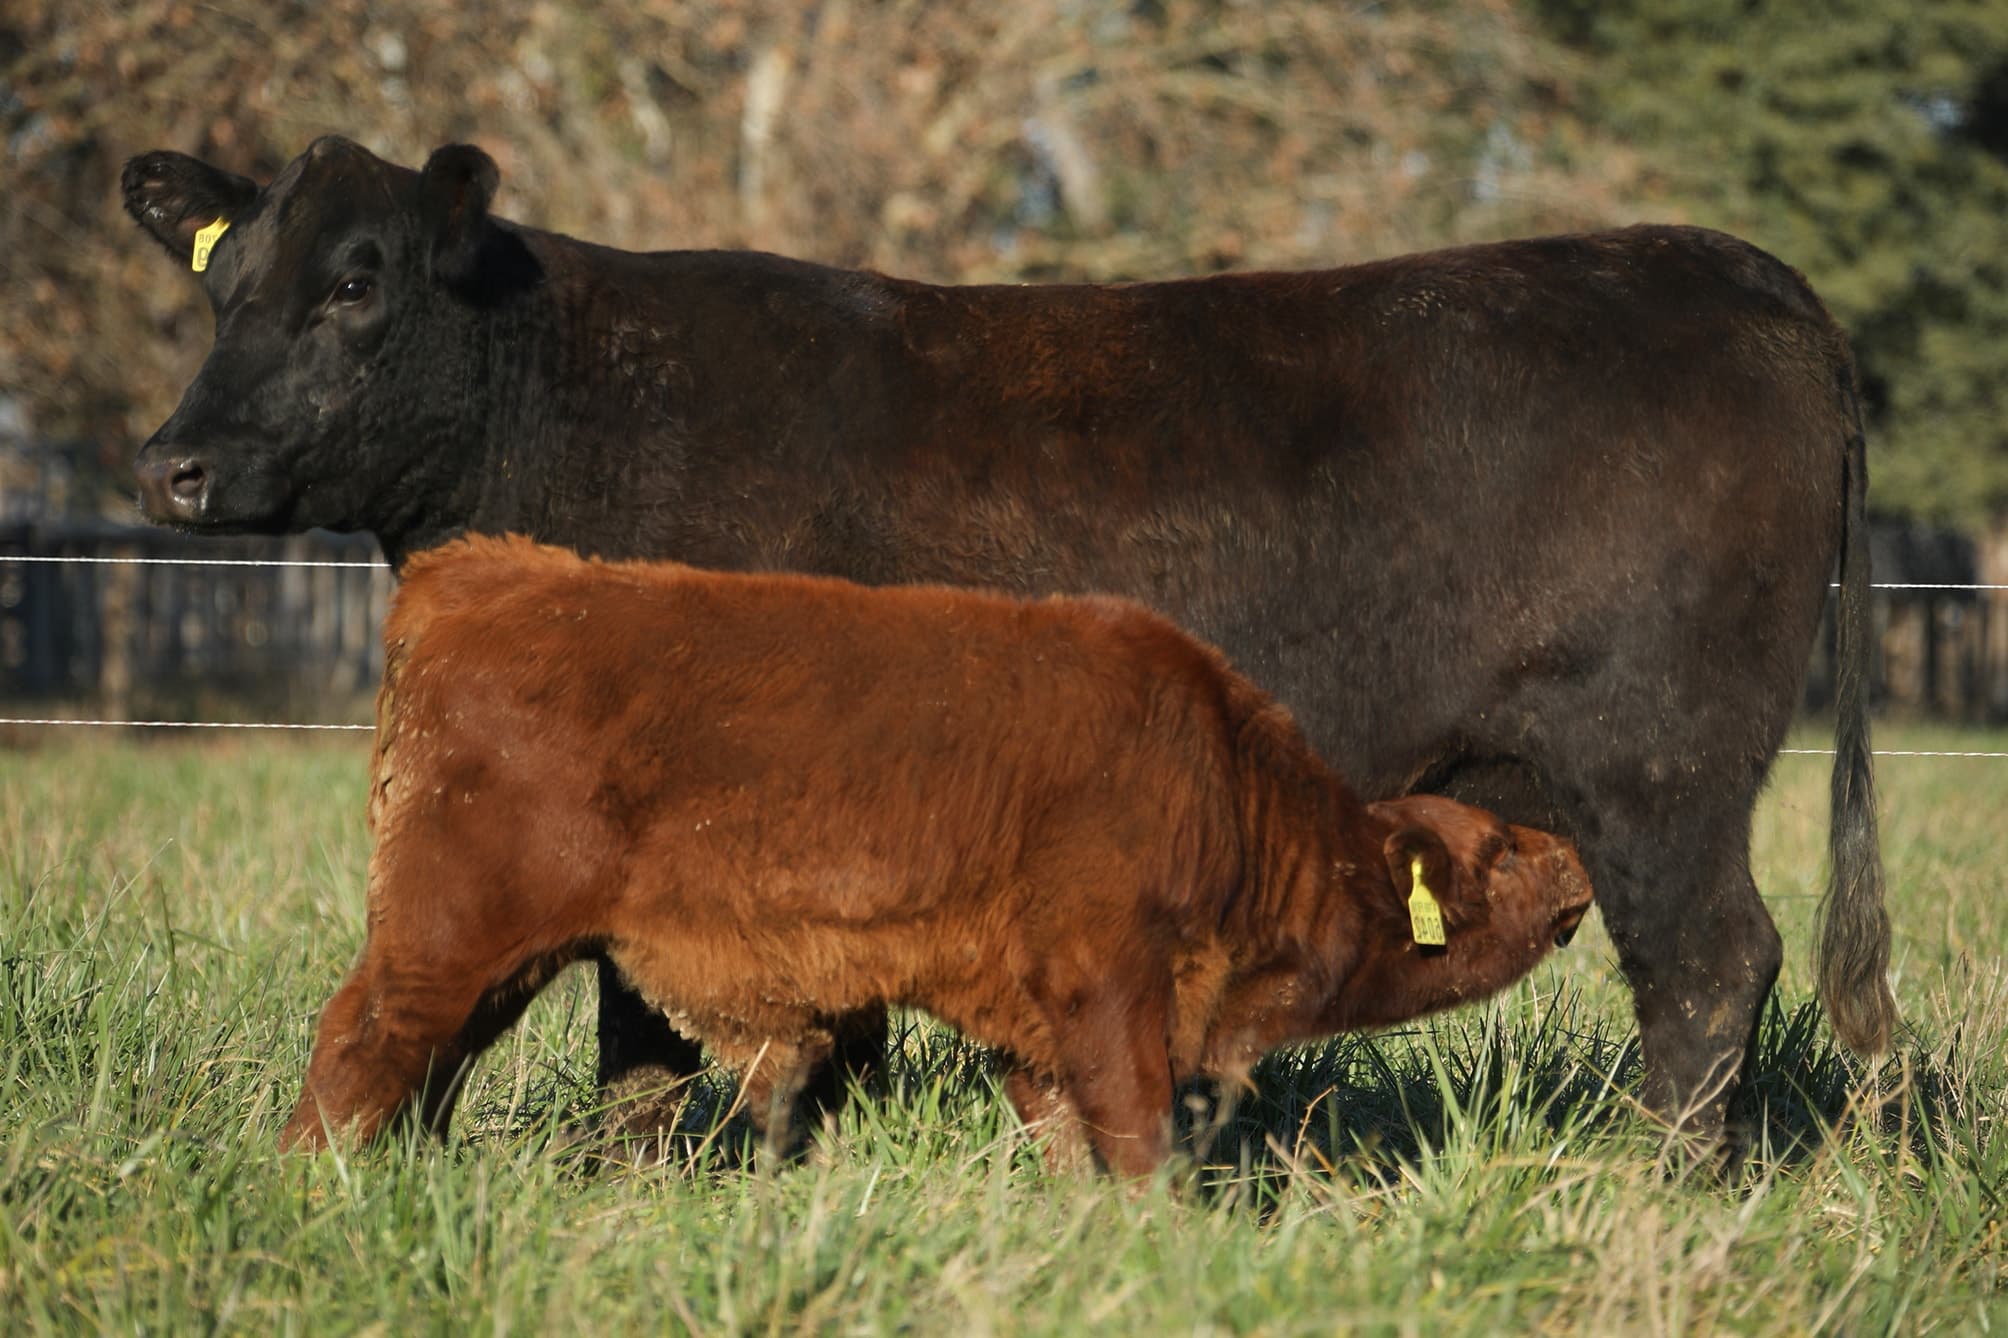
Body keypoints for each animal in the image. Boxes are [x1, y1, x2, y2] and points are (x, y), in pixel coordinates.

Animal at [276, 535, 1596, 1174]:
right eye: (1500, 846)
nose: (1578, 863)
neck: (1228, 787)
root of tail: (479, 574)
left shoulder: (1034, 1029)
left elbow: (1070, 1141)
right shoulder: (1108, 984)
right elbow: (1138, 1137)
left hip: (497, 963)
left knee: (423, 1072)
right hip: (449, 934)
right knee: (358, 1048)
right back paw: (314, 1194)